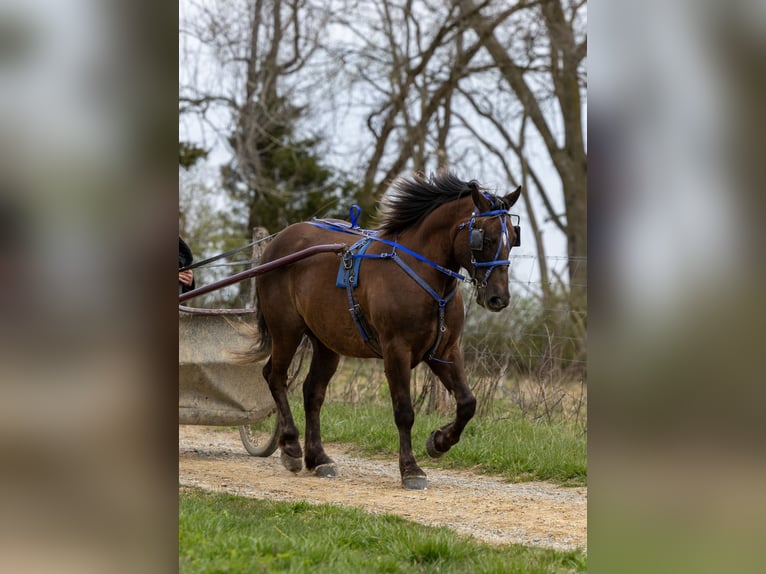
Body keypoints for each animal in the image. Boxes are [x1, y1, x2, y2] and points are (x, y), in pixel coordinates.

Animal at [250, 171, 520, 490]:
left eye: (513, 238)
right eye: (484, 238)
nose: (498, 298)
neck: (422, 273)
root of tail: (279, 241)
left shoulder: (444, 350)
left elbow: (467, 403)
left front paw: (439, 441)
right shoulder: (396, 350)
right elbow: (404, 412)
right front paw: (411, 469)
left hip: (327, 342)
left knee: (312, 392)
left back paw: (319, 458)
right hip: (286, 330)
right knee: (275, 377)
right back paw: (291, 446)